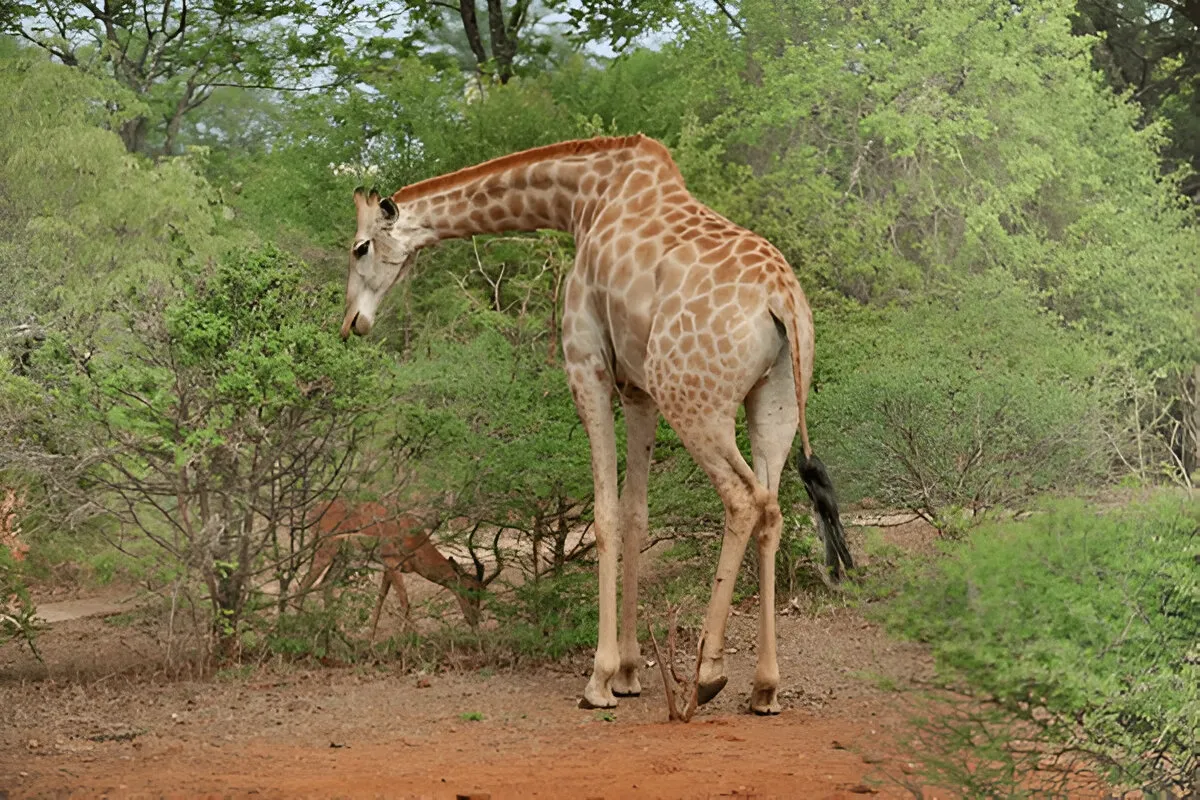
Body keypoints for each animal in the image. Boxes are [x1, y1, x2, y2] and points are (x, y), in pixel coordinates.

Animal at [339, 134, 854, 714]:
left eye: (360, 248)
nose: (352, 323)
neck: (582, 199)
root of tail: (780, 299)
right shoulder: (638, 390)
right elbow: (635, 516)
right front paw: (629, 673)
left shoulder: (587, 365)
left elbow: (604, 515)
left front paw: (601, 678)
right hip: (774, 402)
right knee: (773, 508)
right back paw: (765, 688)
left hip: (695, 400)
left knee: (745, 500)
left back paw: (707, 674)